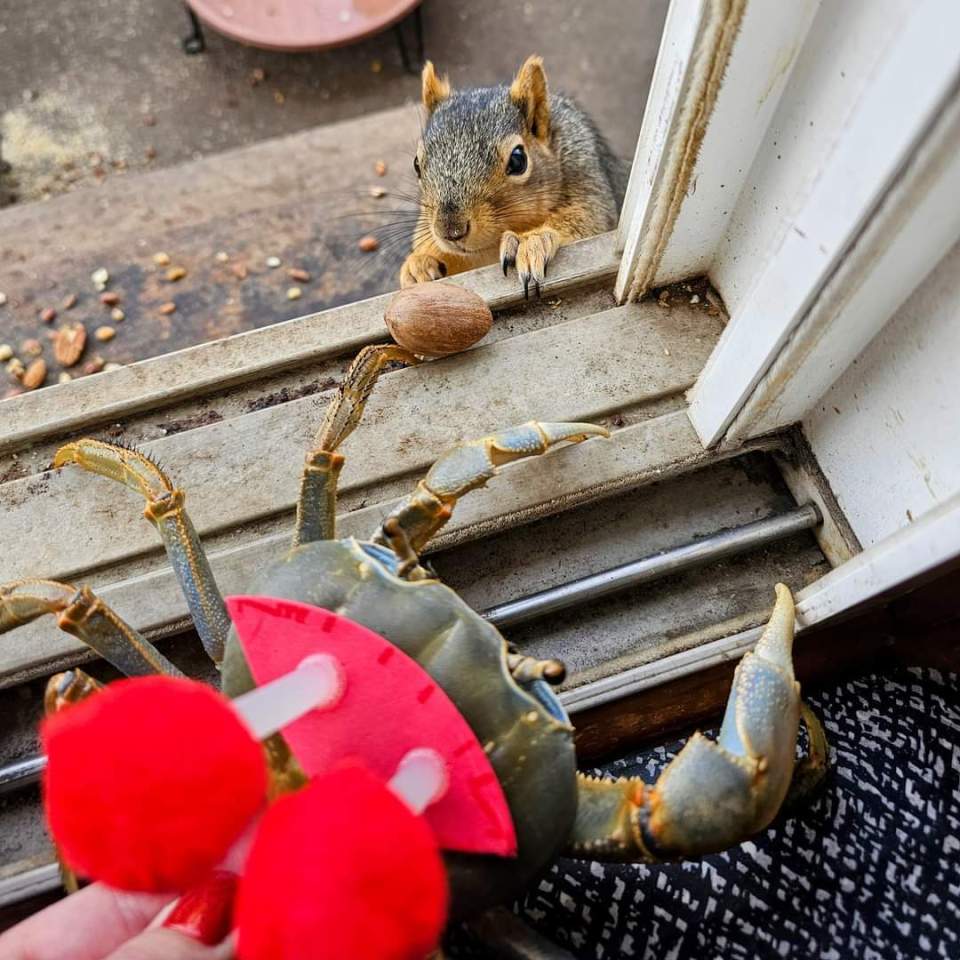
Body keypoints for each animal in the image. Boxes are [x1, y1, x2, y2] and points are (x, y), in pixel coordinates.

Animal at [402, 56, 628, 296]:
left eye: (518, 160)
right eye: (416, 164)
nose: (450, 231)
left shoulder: (588, 180)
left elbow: (587, 222)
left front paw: (527, 241)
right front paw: (418, 263)